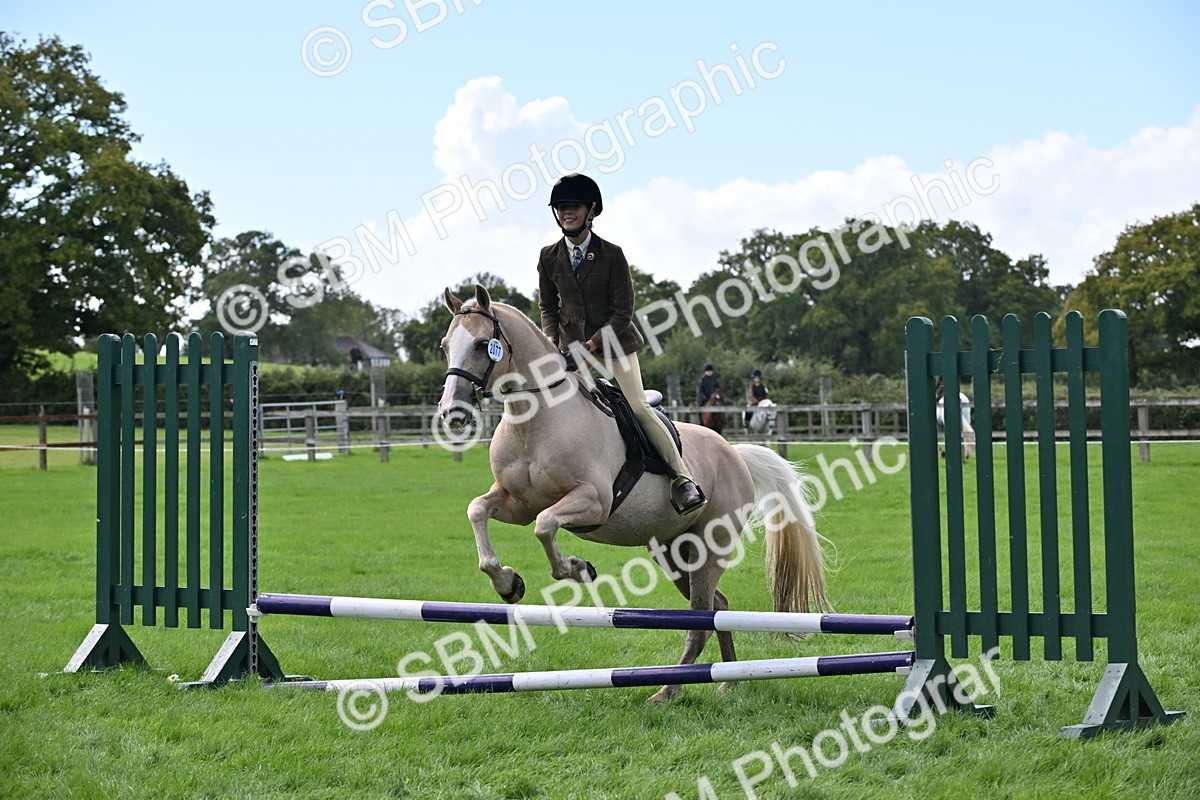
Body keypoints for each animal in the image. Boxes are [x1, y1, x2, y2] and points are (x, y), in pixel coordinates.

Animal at [437, 285, 829, 702]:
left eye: (482, 344)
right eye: (446, 346)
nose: (452, 412)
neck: (536, 422)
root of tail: (735, 453)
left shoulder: (592, 503)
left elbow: (545, 527)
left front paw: (578, 569)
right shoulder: (517, 503)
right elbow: (478, 510)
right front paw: (507, 583)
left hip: (708, 549)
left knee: (701, 619)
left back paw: (668, 691)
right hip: (673, 552)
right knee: (717, 607)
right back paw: (728, 681)